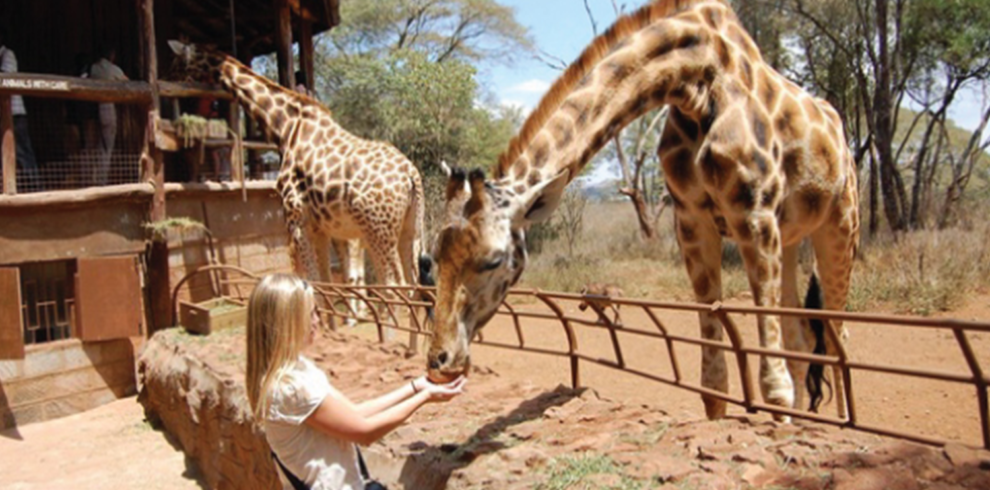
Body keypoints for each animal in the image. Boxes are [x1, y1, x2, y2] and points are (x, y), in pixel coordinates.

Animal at [167, 42, 428, 332]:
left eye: (177, 62)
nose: (169, 84)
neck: (285, 128)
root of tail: (411, 175)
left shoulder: (294, 219)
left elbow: (310, 281)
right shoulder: (322, 228)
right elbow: (327, 282)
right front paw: (331, 327)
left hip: (377, 231)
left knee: (395, 287)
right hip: (408, 229)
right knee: (414, 286)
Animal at [424, 0, 859, 422]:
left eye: (493, 260)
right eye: (434, 257)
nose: (439, 361)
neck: (696, 81)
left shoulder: (753, 212)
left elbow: (773, 382)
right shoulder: (692, 221)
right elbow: (713, 380)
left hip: (839, 225)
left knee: (838, 337)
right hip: (790, 238)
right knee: (802, 336)